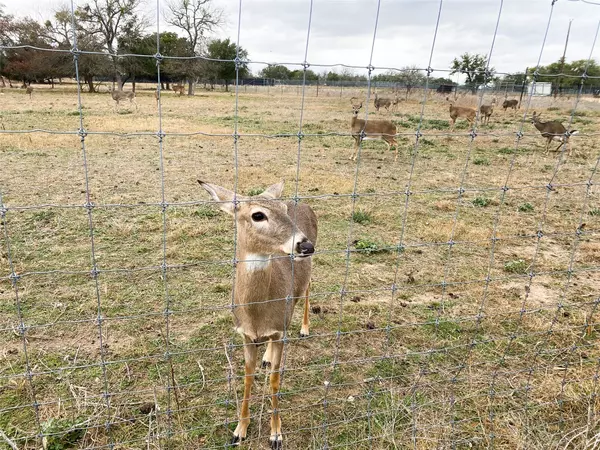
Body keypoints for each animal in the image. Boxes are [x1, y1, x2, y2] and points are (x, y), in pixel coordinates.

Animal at [198, 180, 318, 450]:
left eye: (284, 209)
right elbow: (247, 378)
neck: (257, 314)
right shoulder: (245, 336)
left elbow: (274, 380)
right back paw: (267, 357)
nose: (305, 245)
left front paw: (276, 434)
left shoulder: (280, 331)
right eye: (258, 215)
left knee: (307, 289)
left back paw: (304, 329)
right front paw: (239, 430)